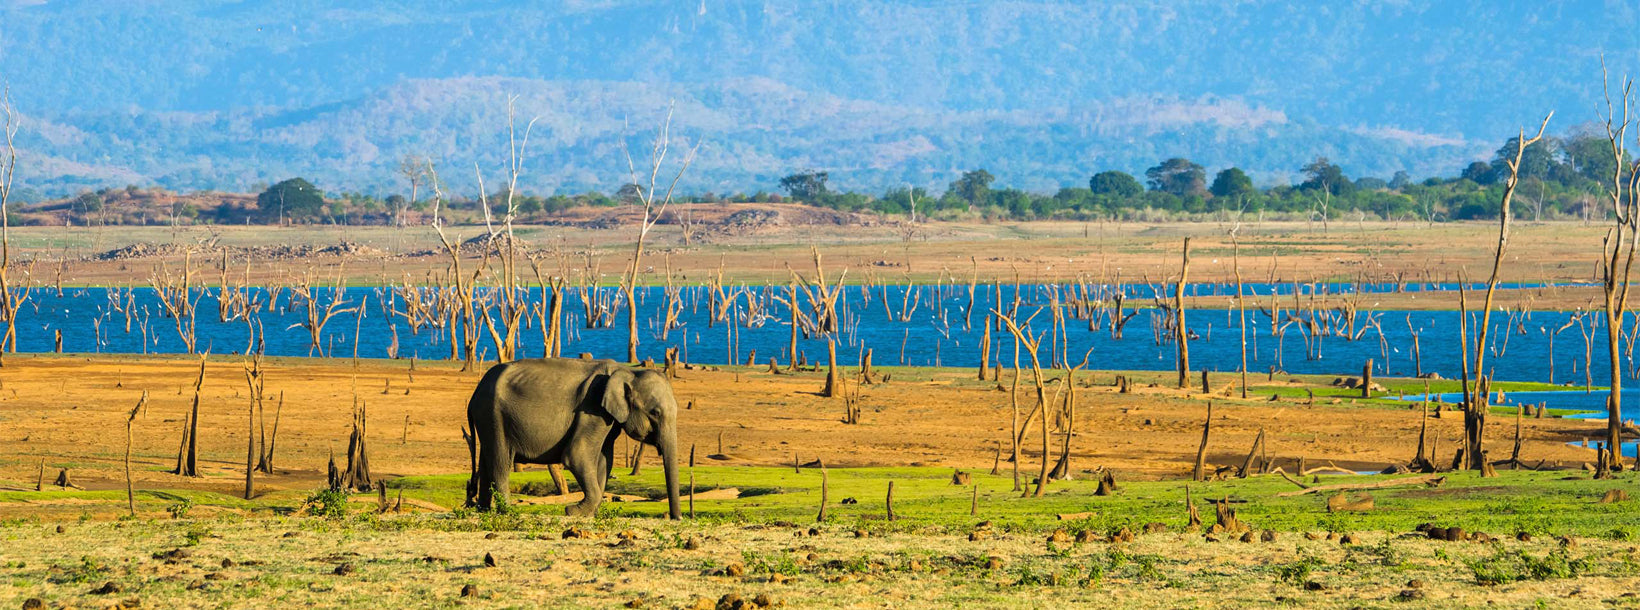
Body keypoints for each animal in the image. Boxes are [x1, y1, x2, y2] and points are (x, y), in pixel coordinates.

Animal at [464, 357, 681, 519]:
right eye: (655, 413)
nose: (675, 517)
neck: (627, 371)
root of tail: (474, 394)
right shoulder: (592, 408)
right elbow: (576, 455)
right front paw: (573, 511)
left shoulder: (607, 419)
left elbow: (604, 460)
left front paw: (589, 513)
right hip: (493, 415)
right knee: (500, 461)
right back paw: (507, 511)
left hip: (488, 419)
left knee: (487, 460)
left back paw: (484, 510)